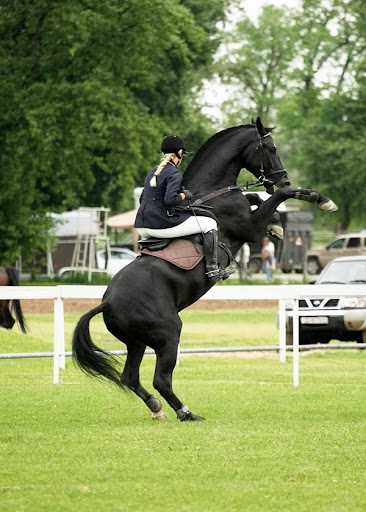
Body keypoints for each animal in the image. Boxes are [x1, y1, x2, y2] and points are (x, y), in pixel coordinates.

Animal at [72, 118, 338, 422]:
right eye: (271, 148)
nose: (283, 179)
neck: (212, 193)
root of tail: (106, 302)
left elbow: (254, 196)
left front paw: (277, 225)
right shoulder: (249, 228)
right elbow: (273, 199)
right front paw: (321, 200)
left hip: (136, 342)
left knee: (130, 377)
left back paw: (157, 408)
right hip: (168, 332)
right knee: (161, 379)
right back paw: (186, 413)